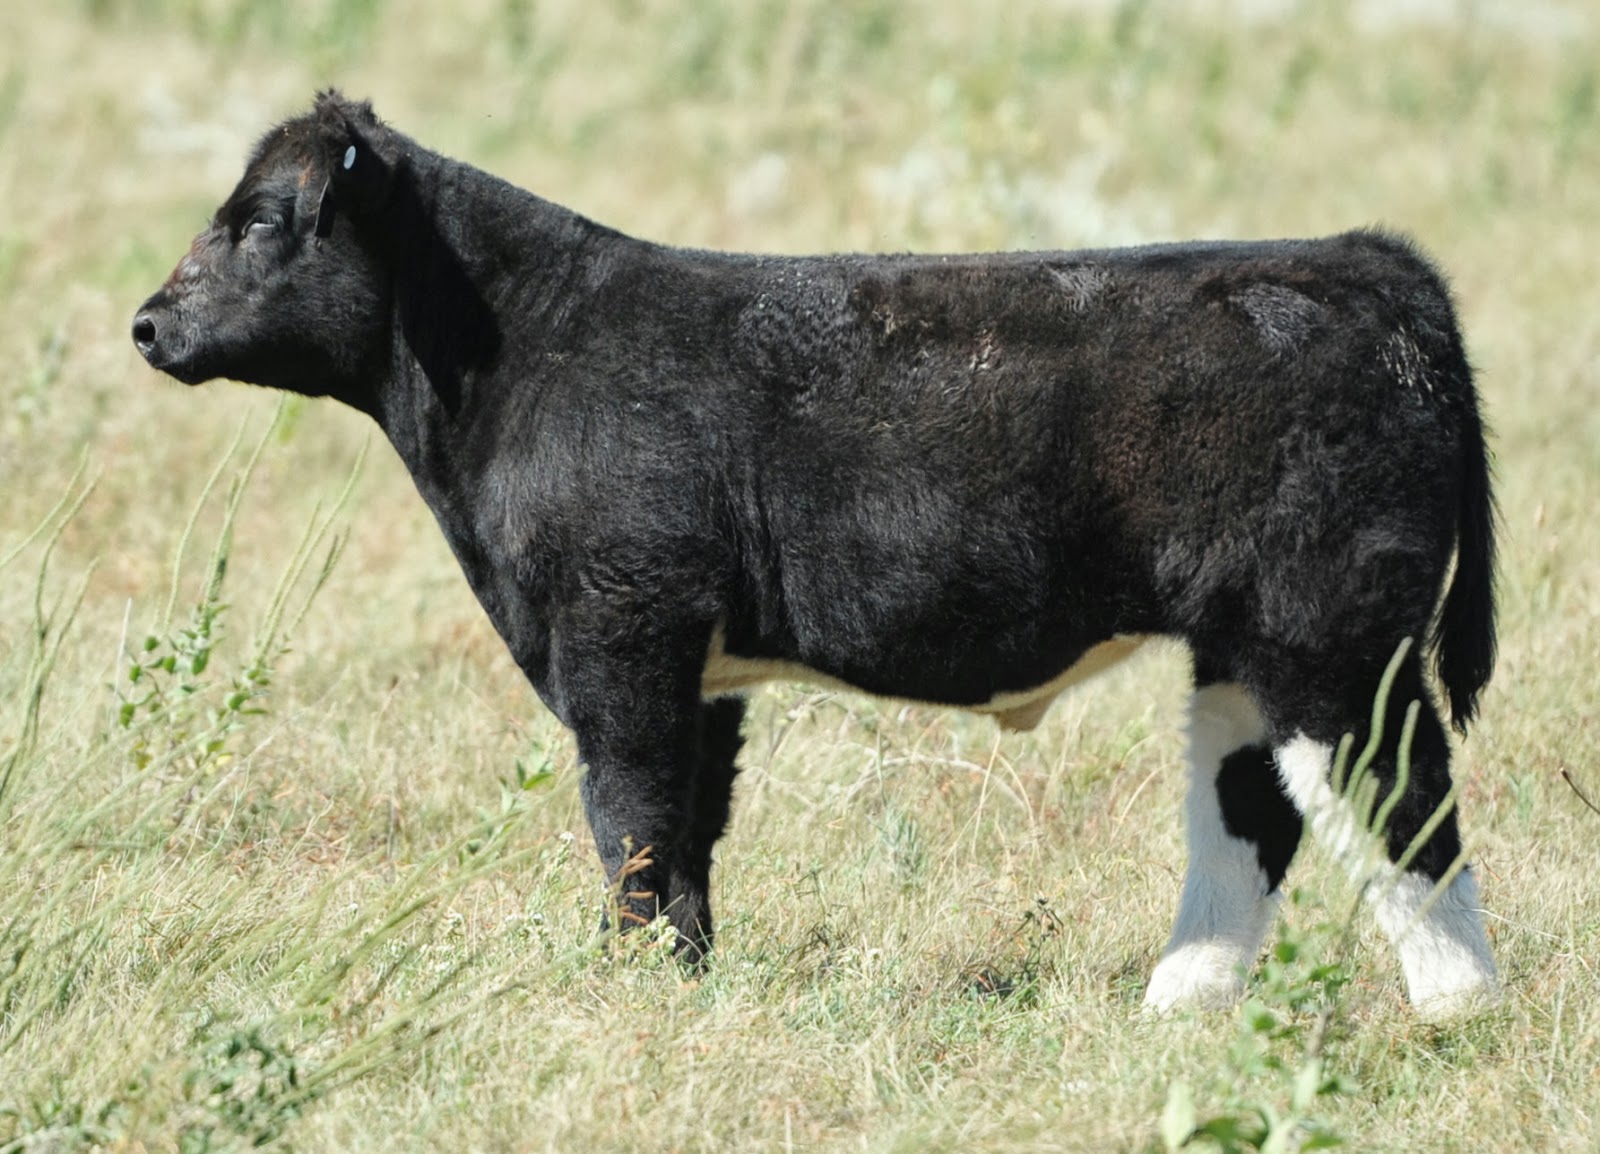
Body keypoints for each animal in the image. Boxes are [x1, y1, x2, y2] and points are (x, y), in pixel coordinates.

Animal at [132, 91, 1500, 1019]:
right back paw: (1177, 1010)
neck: (515, 356)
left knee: (1402, 799)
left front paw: (630, 986)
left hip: (1329, 637)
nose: (147, 323)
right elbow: (686, 829)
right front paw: (682, 982)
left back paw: (1456, 1010)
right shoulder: (696, 665)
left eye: (262, 218)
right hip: (1241, 648)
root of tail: (1357, 258)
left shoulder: (620, 628)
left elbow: (629, 815)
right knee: (1248, 816)